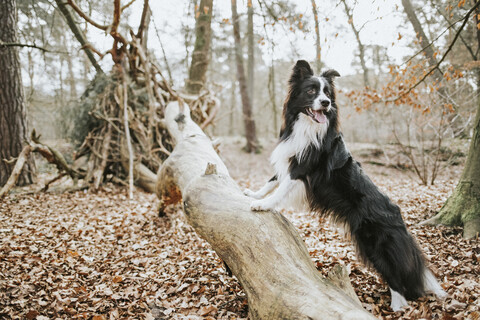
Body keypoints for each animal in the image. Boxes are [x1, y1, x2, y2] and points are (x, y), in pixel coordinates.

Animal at [244, 60, 446, 312]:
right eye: (311, 91)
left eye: (327, 93)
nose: (326, 103)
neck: (307, 126)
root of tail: (399, 218)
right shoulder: (290, 160)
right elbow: (272, 180)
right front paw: (254, 193)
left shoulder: (301, 169)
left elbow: (280, 189)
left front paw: (262, 205)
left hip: (374, 245)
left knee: (396, 279)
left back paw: (397, 306)